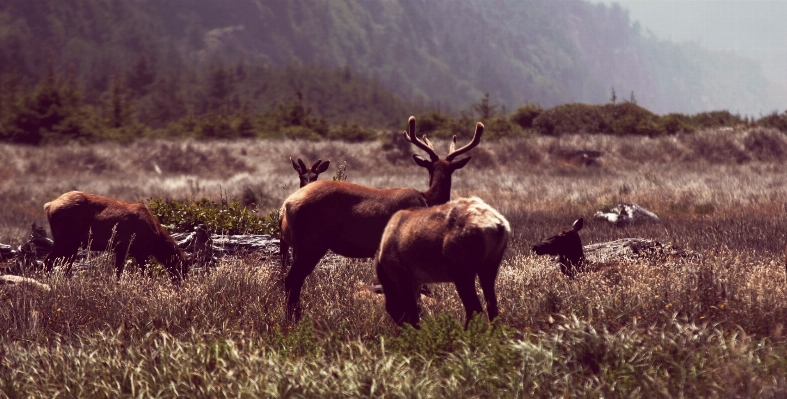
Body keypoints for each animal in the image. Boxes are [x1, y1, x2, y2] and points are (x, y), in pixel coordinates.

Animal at [43, 191, 189, 282]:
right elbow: (146, 275)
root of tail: (48, 205)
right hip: (66, 240)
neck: (156, 241)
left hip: (70, 243)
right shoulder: (141, 252)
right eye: (182, 267)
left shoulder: (121, 250)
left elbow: (118, 274)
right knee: (48, 263)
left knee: (61, 265)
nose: (181, 284)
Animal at [280, 115, 484, 322]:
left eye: (450, 169)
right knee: (292, 280)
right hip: (311, 243)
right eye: (432, 168)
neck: (427, 199)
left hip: (298, 245)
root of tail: (286, 205)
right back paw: (294, 320)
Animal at [376, 195, 510, 330]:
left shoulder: (403, 277)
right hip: (489, 268)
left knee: (474, 309)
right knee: (492, 306)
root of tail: (498, 225)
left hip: (463, 274)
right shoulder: (415, 282)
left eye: (392, 307)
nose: (402, 326)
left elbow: (413, 312)